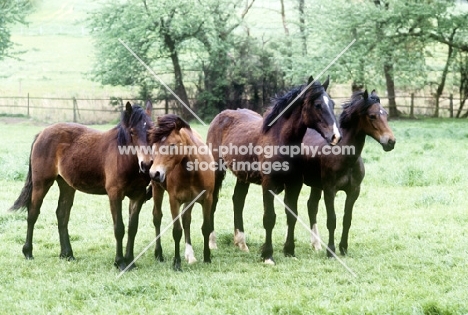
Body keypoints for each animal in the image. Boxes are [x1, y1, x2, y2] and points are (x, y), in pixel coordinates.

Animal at [9, 101, 154, 272]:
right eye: (132, 132)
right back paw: (28, 252)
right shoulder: (115, 194)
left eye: (151, 130)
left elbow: (132, 228)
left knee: (62, 214)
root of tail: (41, 133)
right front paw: (120, 262)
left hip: (66, 185)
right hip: (41, 183)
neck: (125, 159)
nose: (146, 164)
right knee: (33, 213)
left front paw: (130, 261)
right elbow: (119, 228)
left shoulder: (138, 196)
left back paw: (67, 254)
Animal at [149, 115, 215, 272]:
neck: (193, 171)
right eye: (155, 145)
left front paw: (207, 257)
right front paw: (177, 263)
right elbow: (176, 231)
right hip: (157, 189)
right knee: (157, 217)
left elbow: (205, 227)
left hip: (190, 200)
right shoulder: (174, 200)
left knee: (186, 219)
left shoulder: (207, 199)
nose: (155, 173)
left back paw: (190, 255)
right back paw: (159, 253)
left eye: (172, 145)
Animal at [207, 76, 342, 264]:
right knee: (214, 200)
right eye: (317, 105)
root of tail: (221, 116)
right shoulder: (268, 185)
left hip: (243, 176)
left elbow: (292, 215)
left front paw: (289, 251)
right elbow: (269, 218)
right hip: (217, 170)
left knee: (238, 201)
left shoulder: (295, 184)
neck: (281, 140)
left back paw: (241, 243)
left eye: (332, 103)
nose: (335, 136)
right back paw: (212, 242)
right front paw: (268, 255)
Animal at [302, 90, 396, 258]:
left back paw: (316, 244)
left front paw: (343, 248)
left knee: (311, 206)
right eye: (372, 116)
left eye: (385, 114)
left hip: (315, 186)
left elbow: (347, 219)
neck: (344, 156)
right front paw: (331, 250)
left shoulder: (354, 191)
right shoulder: (330, 190)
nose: (391, 141)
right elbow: (332, 219)